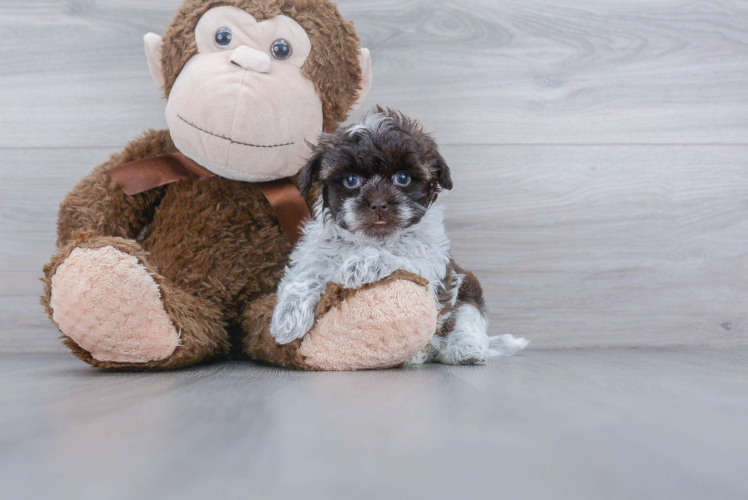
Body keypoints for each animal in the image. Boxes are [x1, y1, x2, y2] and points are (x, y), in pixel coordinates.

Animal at [268, 109, 524, 366]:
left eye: (403, 178)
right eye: (351, 180)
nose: (378, 203)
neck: (370, 240)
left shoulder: (430, 266)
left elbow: (400, 258)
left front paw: (360, 263)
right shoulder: (314, 255)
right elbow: (306, 275)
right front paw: (287, 316)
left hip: (467, 288)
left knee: (466, 319)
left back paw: (465, 349)